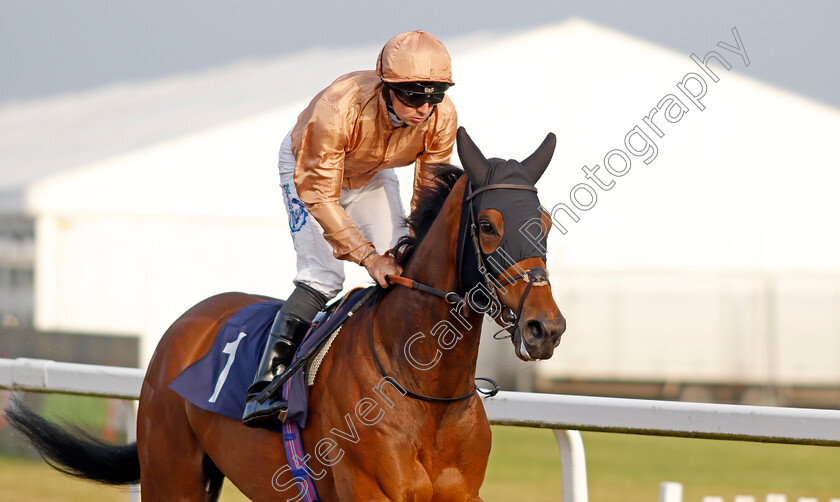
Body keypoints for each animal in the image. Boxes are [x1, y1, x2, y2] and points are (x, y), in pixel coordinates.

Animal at [4, 127, 564, 500]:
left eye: (544, 222)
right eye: (488, 226)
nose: (546, 327)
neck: (425, 392)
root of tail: (183, 326)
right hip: (172, 474)